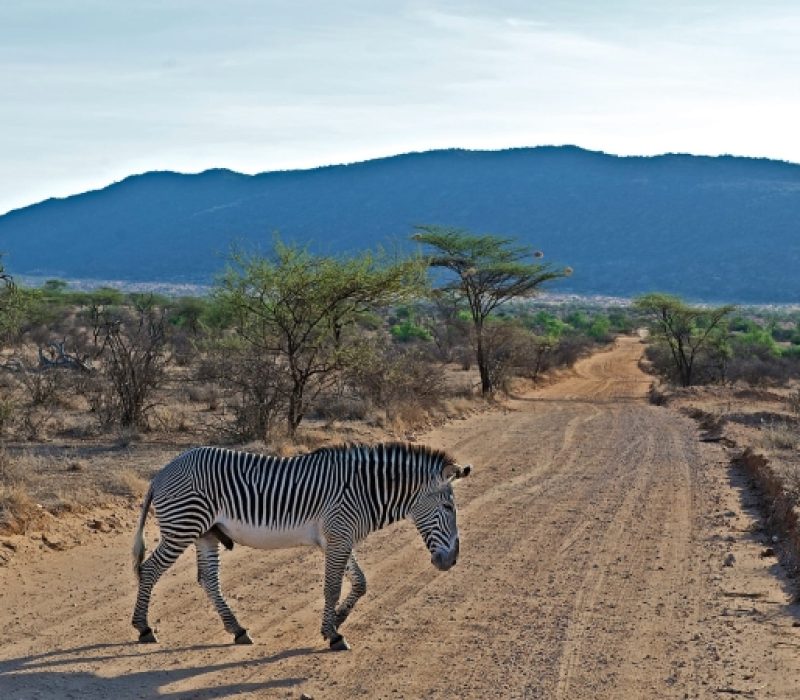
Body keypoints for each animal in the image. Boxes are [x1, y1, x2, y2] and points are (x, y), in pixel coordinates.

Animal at [131, 442, 471, 651]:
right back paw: (144, 629)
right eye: (448, 507)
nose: (452, 560)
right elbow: (332, 587)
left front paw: (337, 619)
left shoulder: (339, 538)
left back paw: (238, 630)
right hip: (183, 527)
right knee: (149, 570)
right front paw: (333, 635)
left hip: (206, 533)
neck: (365, 491)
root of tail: (161, 474)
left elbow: (360, 583)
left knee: (208, 581)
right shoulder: (338, 536)